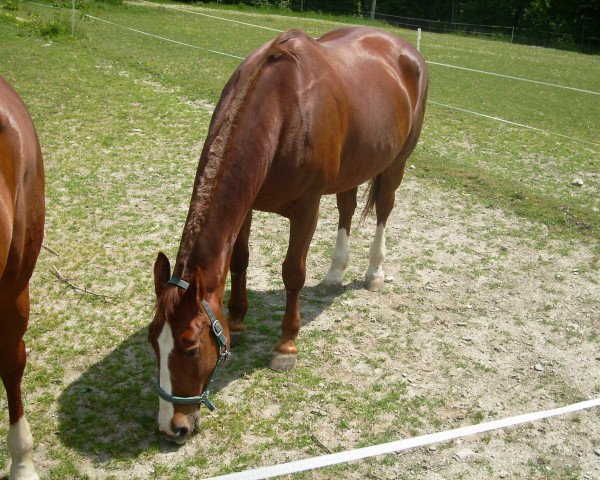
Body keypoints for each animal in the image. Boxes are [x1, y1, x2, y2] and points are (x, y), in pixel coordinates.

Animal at [151, 27, 432, 442]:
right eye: (153, 341)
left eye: (188, 347)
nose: (173, 427)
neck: (282, 111)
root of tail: (403, 47)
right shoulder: (248, 204)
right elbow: (240, 260)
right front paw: (237, 319)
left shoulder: (306, 208)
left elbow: (293, 273)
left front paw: (286, 346)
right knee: (347, 208)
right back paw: (334, 275)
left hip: (396, 163)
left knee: (383, 209)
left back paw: (373, 273)